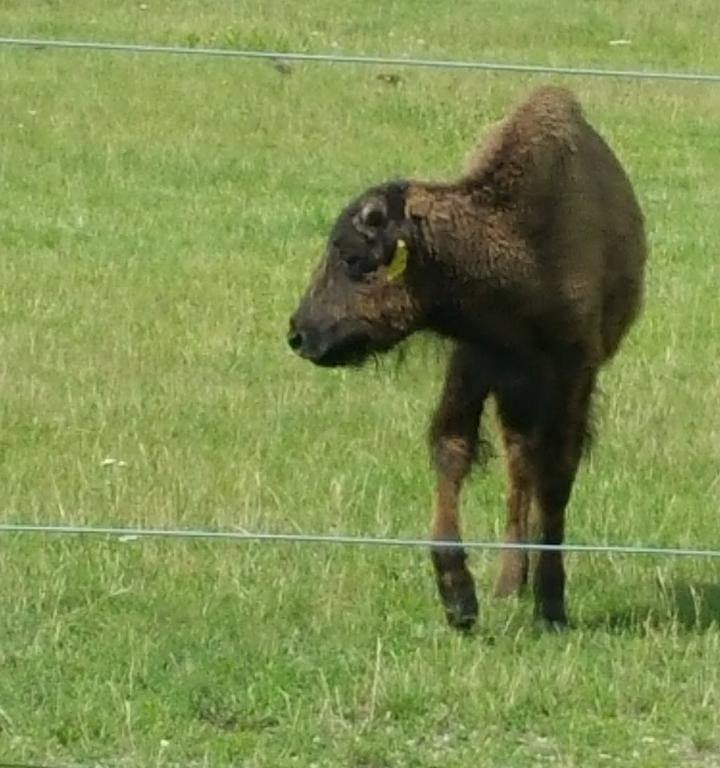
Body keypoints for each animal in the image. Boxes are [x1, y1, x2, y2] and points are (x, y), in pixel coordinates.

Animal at [286, 85, 648, 632]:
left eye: (352, 258)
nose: (299, 333)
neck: (520, 246)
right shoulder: (475, 363)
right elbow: (451, 450)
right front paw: (459, 598)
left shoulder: (573, 375)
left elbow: (556, 479)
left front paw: (551, 606)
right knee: (518, 468)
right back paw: (507, 583)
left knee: (532, 470)